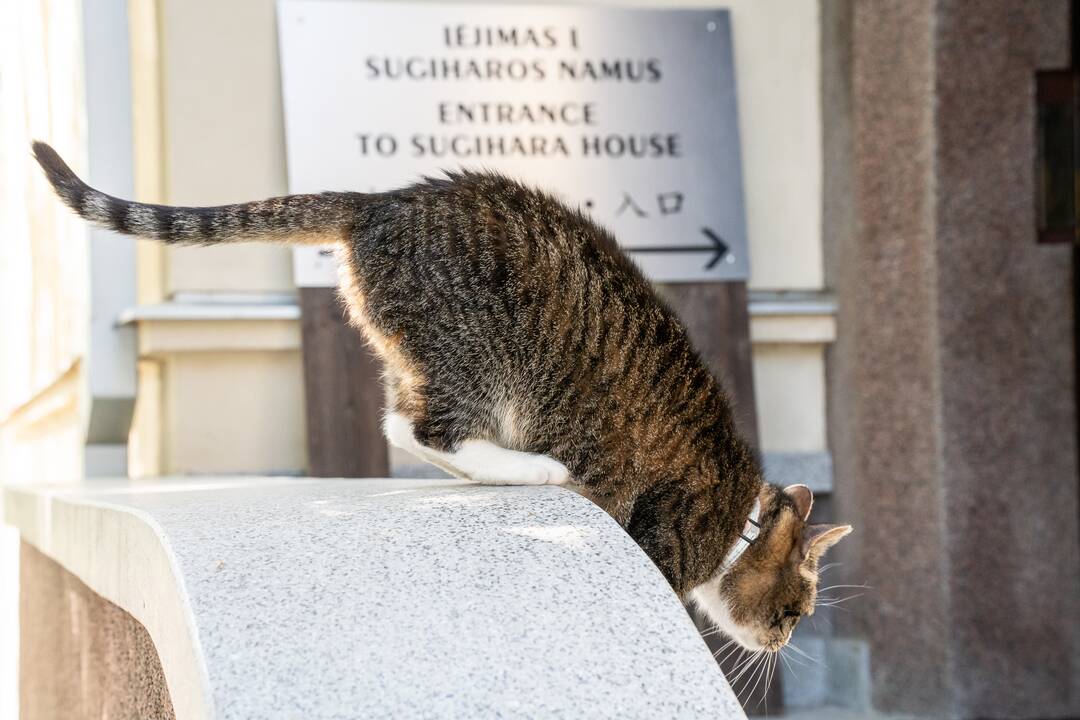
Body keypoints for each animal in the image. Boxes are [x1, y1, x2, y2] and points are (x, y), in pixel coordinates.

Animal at [33, 142, 851, 651]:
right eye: (796, 608)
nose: (783, 640)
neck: (738, 518)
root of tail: (378, 201)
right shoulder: (663, 541)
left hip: (424, 353)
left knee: (401, 423)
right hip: (484, 360)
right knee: (425, 429)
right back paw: (539, 469)